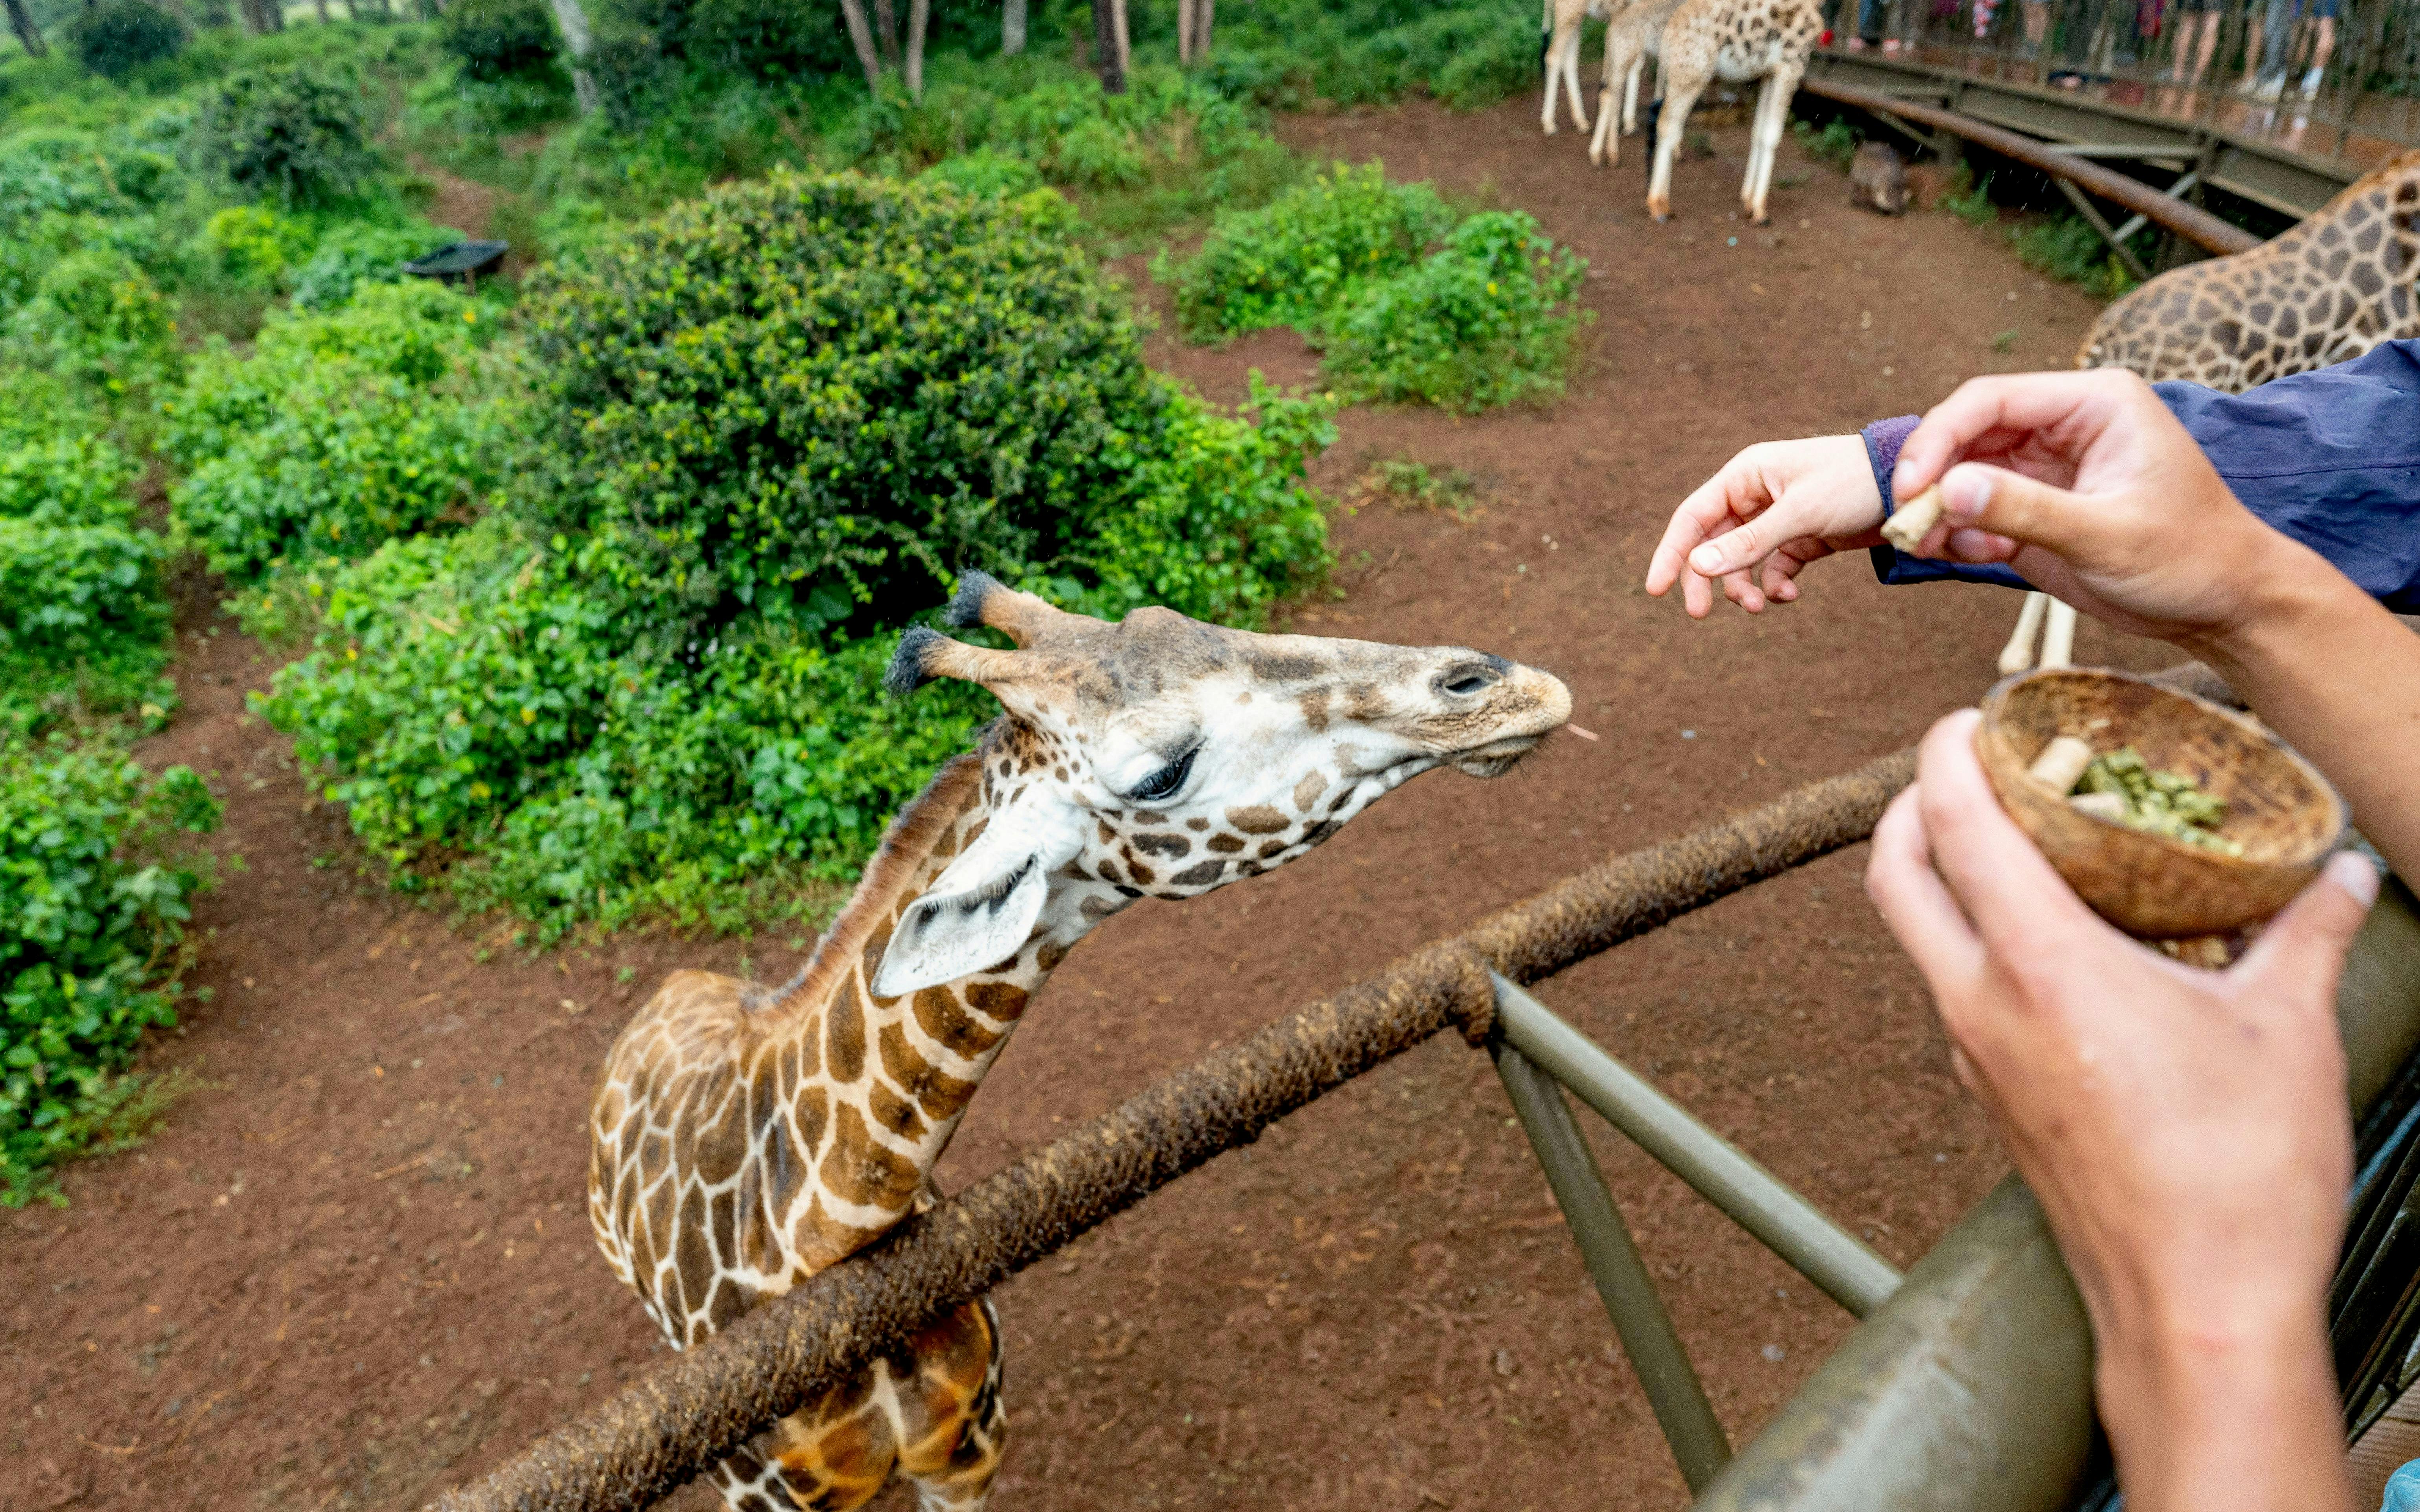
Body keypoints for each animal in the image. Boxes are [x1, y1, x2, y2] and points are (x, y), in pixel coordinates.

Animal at [588, 572, 1573, 1512]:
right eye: (1159, 773)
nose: (1511, 686)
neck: (819, 1245)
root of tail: (676, 988)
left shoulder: (970, 1451)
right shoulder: (769, 1497)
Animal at [1587, 0, 1822, 226]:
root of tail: (1672, 28)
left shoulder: (1768, 75)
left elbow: (1758, 133)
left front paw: (1748, 201)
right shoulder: (1790, 67)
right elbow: (1772, 137)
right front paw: (1760, 212)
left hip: (1671, 68)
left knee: (1624, 99)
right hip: (1691, 71)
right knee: (1664, 121)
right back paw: (1657, 204)